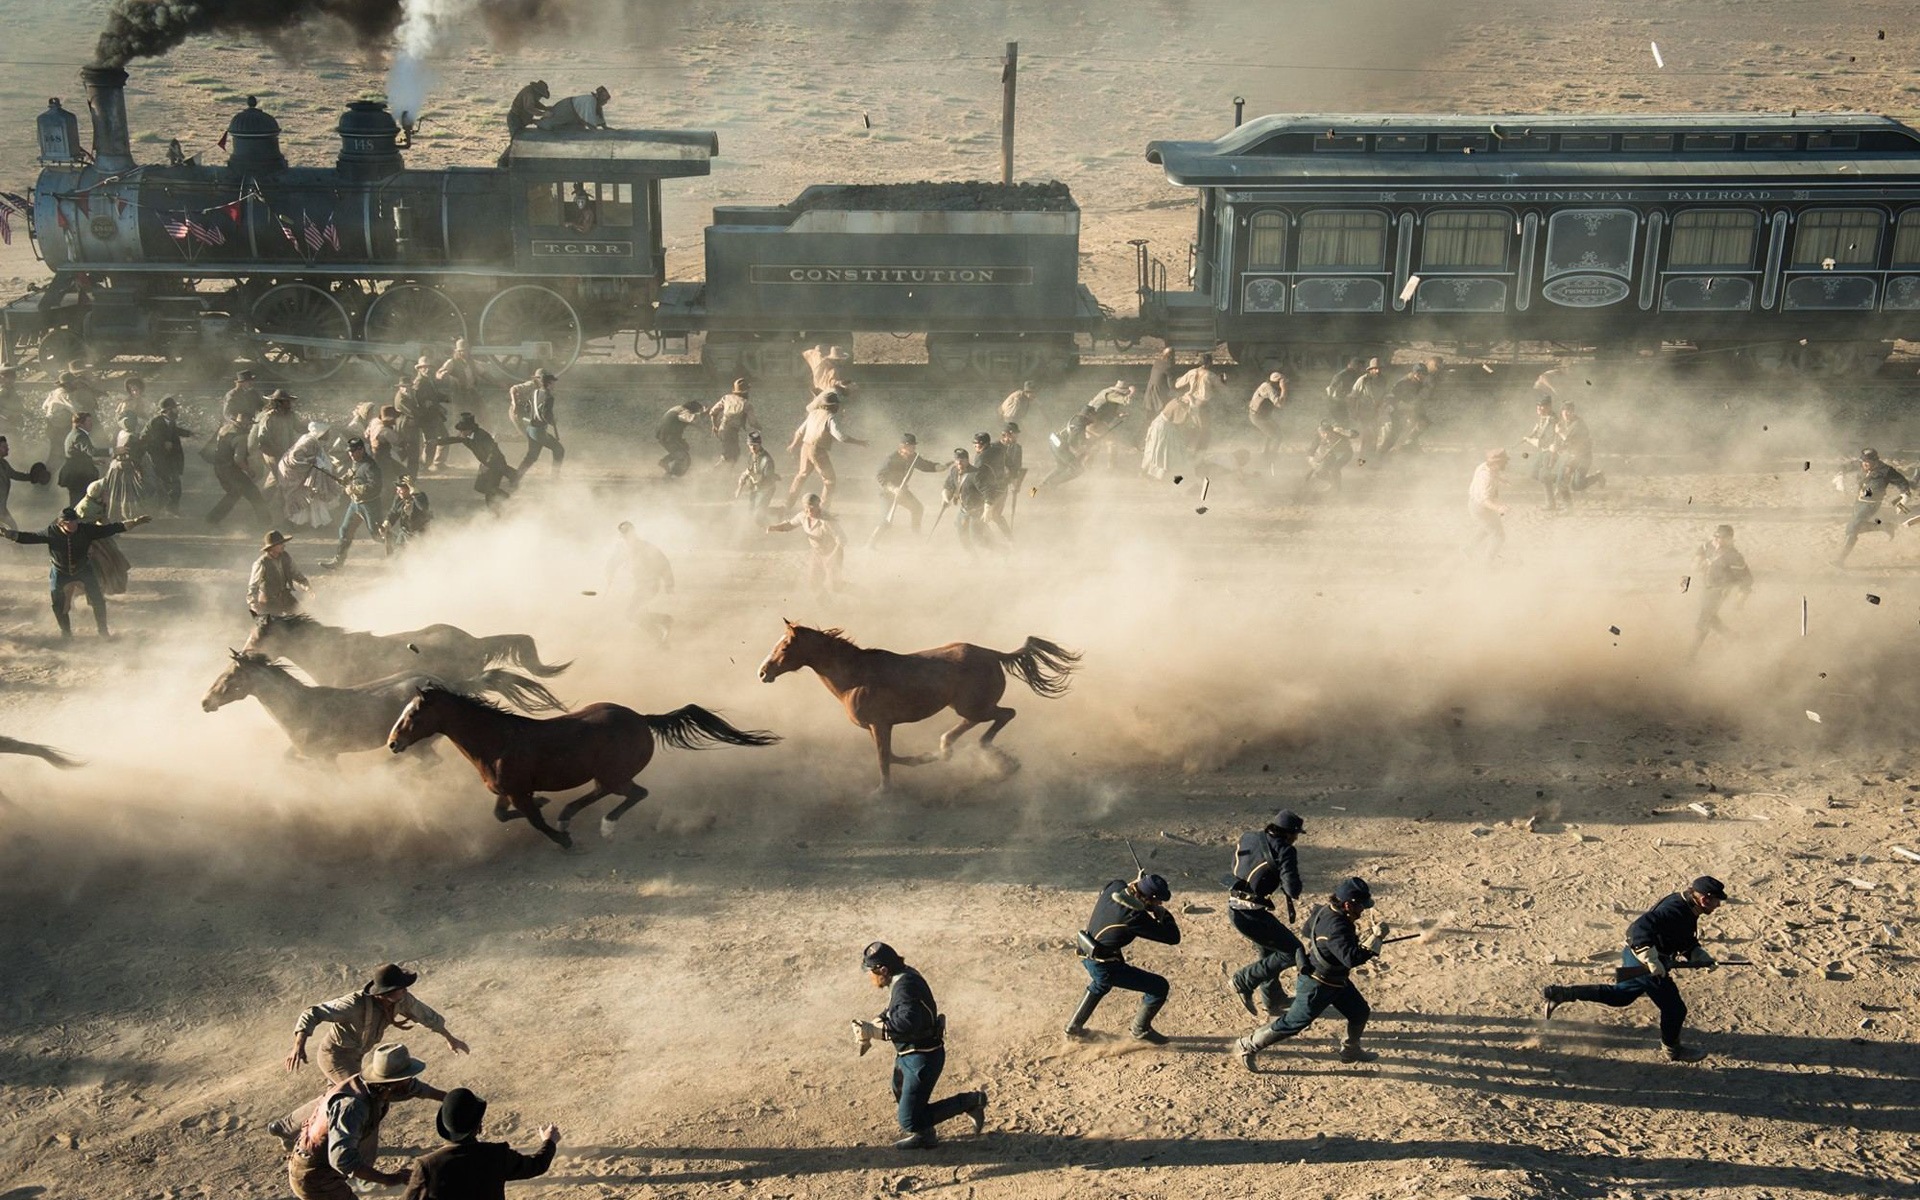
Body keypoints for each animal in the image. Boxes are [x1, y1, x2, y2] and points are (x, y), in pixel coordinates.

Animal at [385, 683, 775, 852]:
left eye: (414, 714)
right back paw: (568, 815)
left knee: (636, 793)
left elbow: (535, 821)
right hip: (607, 775)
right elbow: (502, 815)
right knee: (603, 793)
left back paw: (603, 827)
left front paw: (563, 839)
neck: (497, 741)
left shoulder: (518, 791)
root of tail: (642, 719)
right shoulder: (506, 792)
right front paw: (549, 806)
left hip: (616, 775)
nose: (392, 743)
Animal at [752, 622, 1082, 791]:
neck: (855, 677)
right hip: (967, 707)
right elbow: (892, 756)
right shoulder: (878, 727)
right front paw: (924, 758)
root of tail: (994, 654)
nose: (763, 672)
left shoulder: (880, 725)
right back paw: (950, 748)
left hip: (974, 707)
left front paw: (883, 793)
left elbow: (884, 759)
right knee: (979, 723)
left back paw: (995, 758)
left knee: (1005, 715)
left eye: (785, 646)